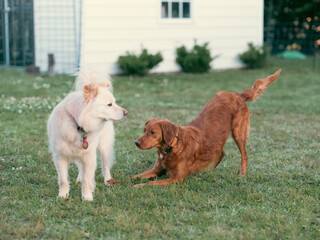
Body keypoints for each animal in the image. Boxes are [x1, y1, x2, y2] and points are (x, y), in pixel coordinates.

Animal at [47, 69, 127, 201]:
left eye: (114, 103)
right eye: (109, 104)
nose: (126, 113)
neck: (78, 124)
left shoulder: (89, 157)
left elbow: (88, 180)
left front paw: (87, 197)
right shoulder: (60, 157)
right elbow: (63, 180)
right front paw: (63, 195)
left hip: (104, 148)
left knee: (105, 166)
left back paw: (108, 181)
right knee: (81, 167)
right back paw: (79, 179)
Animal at [131, 69, 282, 188]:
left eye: (152, 132)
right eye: (144, 131)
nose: (136, 143)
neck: (174, 146)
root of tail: (238, 95)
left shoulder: (176, 179)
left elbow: (150, 183)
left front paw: (137, 186)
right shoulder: (157, 170)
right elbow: (135, 176)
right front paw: (128, 181)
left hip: (238, 133)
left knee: (243, 155)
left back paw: (241, 174)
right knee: (221, 152)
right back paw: (207, 171)